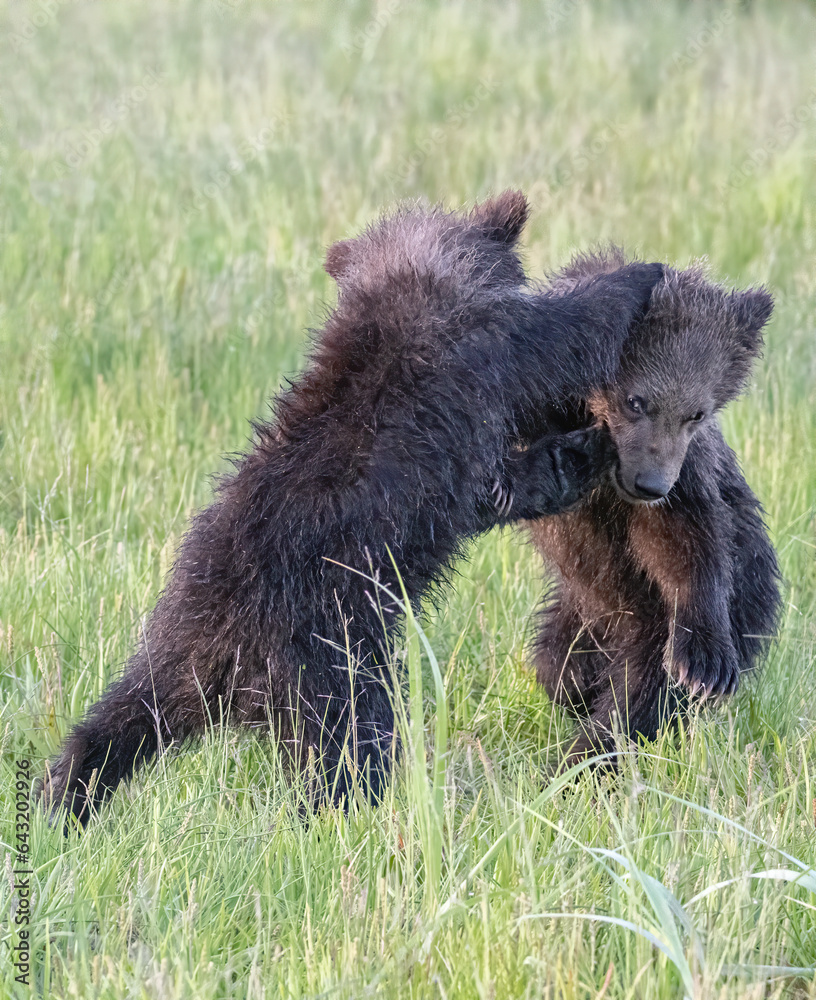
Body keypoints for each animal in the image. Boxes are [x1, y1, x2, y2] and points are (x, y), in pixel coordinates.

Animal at [41, 192, 664, 825]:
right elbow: (557, 347)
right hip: (335, 659)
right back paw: (354, 815)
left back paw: (60, 800)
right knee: (351, 748)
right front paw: (636, 278)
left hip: (168, 647)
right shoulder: (482, 360)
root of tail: (227, 663)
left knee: (113, 725)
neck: (402, 294)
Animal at [527, 250, 781, 763]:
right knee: (557, 667)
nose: (650, 484)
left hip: (728, 598)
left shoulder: (685, 481)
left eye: (696, 412)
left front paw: (703, 661)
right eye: (636, 399)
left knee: (641, 695)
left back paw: (589, 753)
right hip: (580, 612)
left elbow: (683, 545)